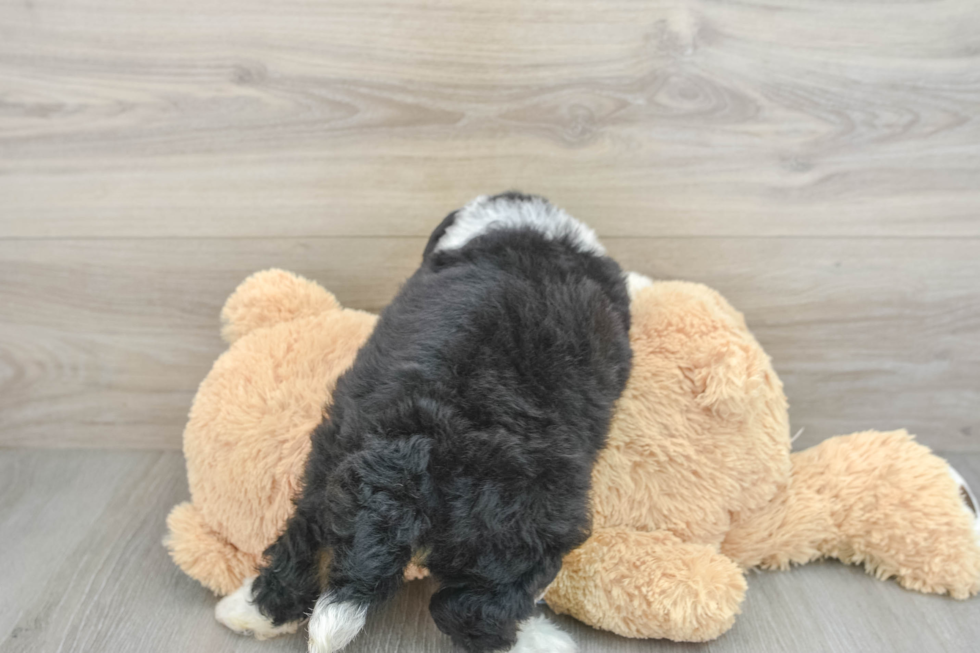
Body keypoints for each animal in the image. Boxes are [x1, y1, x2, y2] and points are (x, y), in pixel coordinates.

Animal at [216, 191, 636, 648]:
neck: (522, 228)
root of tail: (412, 447)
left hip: (331, 464)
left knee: (301, 544)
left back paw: (248, 613)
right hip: (524, 524)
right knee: (469, 609)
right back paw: (538, 639)